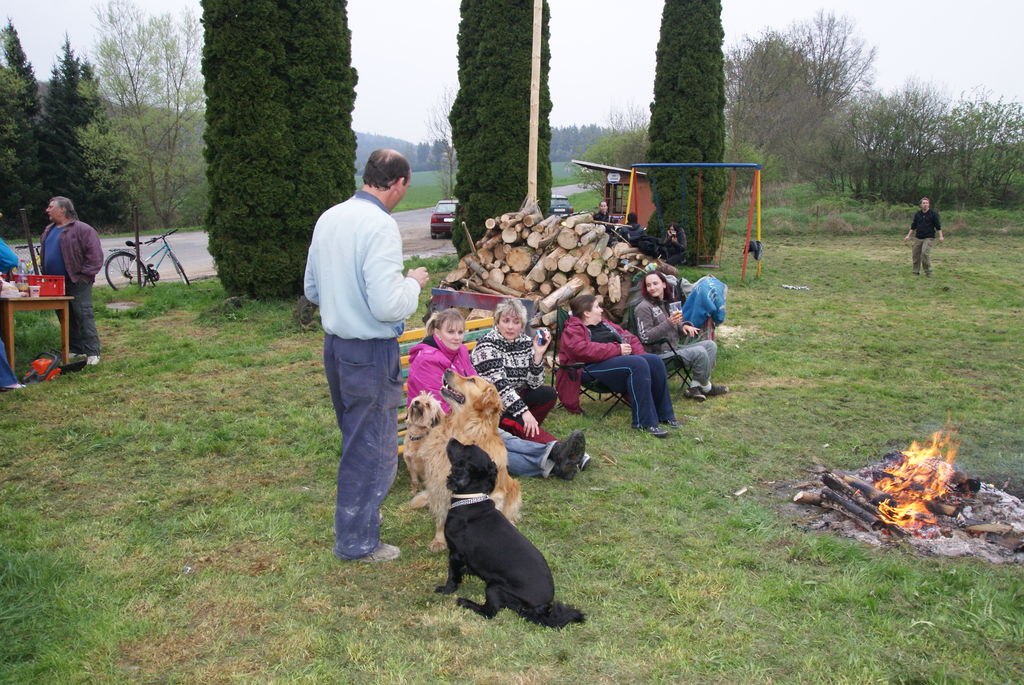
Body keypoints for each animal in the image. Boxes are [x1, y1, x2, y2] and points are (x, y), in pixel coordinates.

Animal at [410, 370, 521, 552]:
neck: (461, 430)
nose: (447, 370)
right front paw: (439, 540)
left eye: (471, 380)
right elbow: (441, 517)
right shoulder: (438, 486)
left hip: (515, 487)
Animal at [435, 438, 585, 628]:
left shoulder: (455, 553)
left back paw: (466, 602)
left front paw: (446, 590)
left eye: (466, 448)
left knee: (489, 612)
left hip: (494, 587)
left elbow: (452, 576)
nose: (452, 439)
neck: (471, 499)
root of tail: (543, 607)